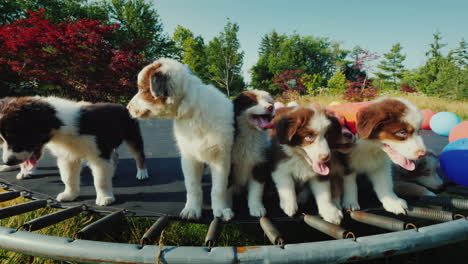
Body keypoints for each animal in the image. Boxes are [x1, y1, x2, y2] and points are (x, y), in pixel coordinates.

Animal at [0, 96, 149, 205]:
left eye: (15, 136)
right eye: (3, 139)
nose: (7, 162)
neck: (60, 126)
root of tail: (122, 105)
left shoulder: (98, 155)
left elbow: (100, 180)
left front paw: (105, 198)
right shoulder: (67, 157)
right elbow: (68, 178)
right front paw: (70, 195)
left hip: (132, 134)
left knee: (139, 154)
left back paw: (142, 172)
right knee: (115, 155)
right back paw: (112, 172)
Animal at [127, 58, 234, 221]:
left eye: (142, 89)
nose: (127, 108)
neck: (192, 112)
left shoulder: (221, 157)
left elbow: (218, 188)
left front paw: (221, 210)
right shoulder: (189, 156)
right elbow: (192, 185)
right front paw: (191, 209)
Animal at [229, 89, 274, 218]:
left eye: (269, 102)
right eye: (253, 102)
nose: (271, 107)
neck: (250, 135)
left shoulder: (260, 164)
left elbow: (256, 190)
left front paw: (257, 208)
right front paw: (225, 207)